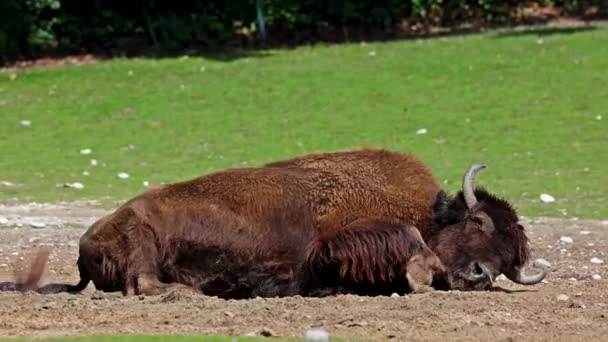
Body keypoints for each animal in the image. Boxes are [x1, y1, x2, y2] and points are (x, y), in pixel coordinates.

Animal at [1, 148, 548, 298]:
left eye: (509, 260)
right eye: (477, 221)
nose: (479, 274)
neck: (426, 211)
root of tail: (84, 239)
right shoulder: (337, 240)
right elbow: (409, 241)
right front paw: (418, 275)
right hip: (142, 237)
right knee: (143, 284)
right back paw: (187, 293)